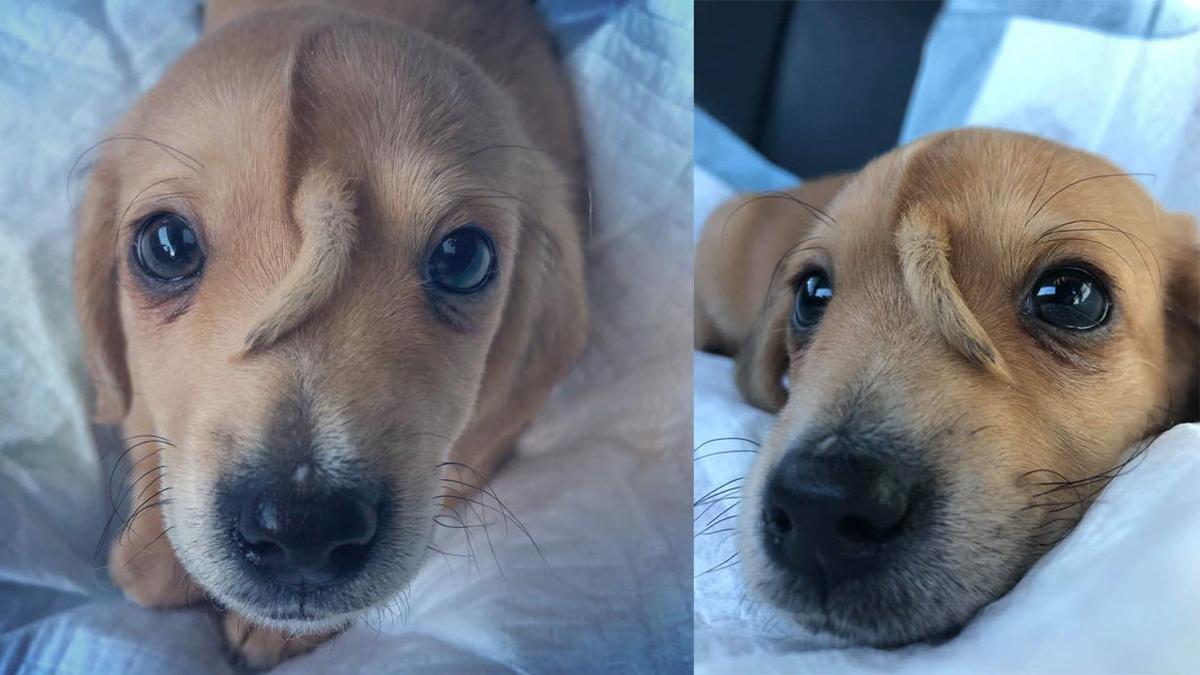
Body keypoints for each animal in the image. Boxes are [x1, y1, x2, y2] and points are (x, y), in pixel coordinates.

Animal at [72, 0, 588, 662]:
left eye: (463, 257)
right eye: (167, 245)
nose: (303, 529)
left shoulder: (477, 443)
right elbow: (146, 437)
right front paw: (152, 557)